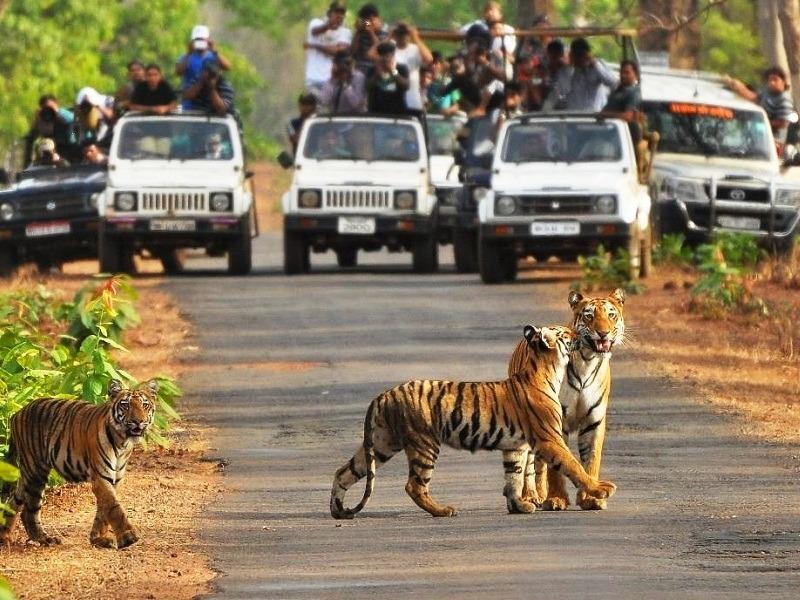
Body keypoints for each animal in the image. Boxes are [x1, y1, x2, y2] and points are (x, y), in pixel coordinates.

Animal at [0, 380, 158, 548]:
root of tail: (18, 413)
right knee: (29, 510)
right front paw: (128, 537)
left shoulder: (113, 479)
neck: (123, 442)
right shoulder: (101, 477)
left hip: (29, 474)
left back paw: (5, 537)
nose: (138, 421)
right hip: (35, 471)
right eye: (126, 405)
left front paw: (98, 538)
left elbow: (103, 509)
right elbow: (114, 507)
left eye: (145, 405)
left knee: (14, 500)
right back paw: (44, 539)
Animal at [328, 326, 616, 516]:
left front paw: (519, 506)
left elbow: (514, 477)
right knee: (414, 485)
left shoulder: (516, 447)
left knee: (343, 471)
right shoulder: (549, 439)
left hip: (382, 443)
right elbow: (573, 465)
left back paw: (338, 510)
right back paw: (443, 510)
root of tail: (383, 395)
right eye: (566, 333)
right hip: (424, 443)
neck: (547, 370)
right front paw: (601, 489)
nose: (580, 333)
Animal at [510, 290, 628, 510]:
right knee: (530, 464)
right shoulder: (556, 422)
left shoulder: (594, 422)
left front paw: (591, 498)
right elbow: (556, 468)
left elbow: (591, 461)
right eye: (589, 315)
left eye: (611, 315)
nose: (604, 333)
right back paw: (531, 496)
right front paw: (557, 499)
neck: (587, 361)